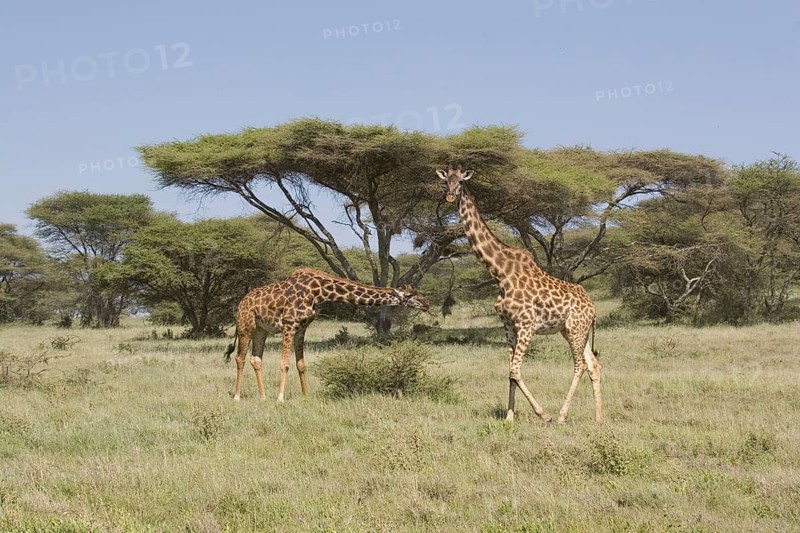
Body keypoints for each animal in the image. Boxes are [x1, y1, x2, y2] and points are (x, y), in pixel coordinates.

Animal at [224, 268, 430, 402]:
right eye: (410, 296)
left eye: (419, 293)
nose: (427, 304)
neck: (319, 291)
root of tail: (241, 303)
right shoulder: (289, 324)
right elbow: (285, 364)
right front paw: (281, 398)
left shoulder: (302, 327)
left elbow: (301, 364)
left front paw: (306, 396)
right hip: (246, 326)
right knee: (240, 358)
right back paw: (237, 397)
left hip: (262, 330)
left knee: (256, 359)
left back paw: (263, 397)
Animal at [437, 166, 602, 423]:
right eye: (446, 182)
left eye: (461, 182)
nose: (450, 196)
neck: (500, 273)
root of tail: (593, 308)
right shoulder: (508, 325)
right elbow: (510, 372)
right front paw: (509, 418)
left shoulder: (526, 325)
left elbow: (515, 370)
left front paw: (543, 414)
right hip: (573, 331)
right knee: (594, 365)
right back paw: (598, 418)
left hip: (576, 329)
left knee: (580, 366)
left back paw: (561, 416)